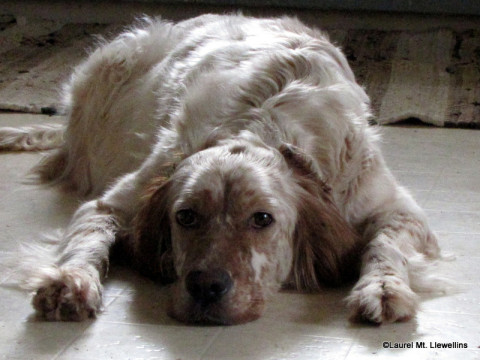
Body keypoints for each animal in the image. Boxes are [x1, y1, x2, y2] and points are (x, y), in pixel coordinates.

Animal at [0, 13, 446, 324]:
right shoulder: (111, 203)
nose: (205, 287)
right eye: (185, 217)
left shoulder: (397, 209)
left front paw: (384, 288)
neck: (264, 123)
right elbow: (87, 239)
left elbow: (385, 245)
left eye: (262, 219)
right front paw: (68, 281)